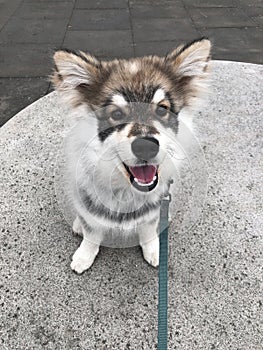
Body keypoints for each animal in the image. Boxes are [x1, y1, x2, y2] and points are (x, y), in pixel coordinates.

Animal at [52, 37, 211, 274]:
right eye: (117, 114)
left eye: (162, 109)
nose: (145, 147)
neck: (127, 192)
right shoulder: (88, 203)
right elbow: (91, 233)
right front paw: (84, 255)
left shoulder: (152, 212)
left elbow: (147, 230)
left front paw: (153, 250)